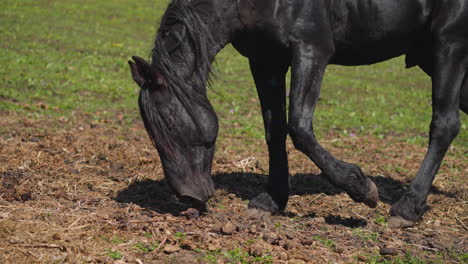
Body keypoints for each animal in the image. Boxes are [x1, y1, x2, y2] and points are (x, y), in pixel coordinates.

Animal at [128, 0, 468, 227]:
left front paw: (362, 188)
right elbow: (275, 128)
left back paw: (407, 208)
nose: (189, 196)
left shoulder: (311, 50)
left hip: (449, 45)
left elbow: (299, 127)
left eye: (170, 125)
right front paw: (271, 200)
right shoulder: (265, 60)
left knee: (444, 125)